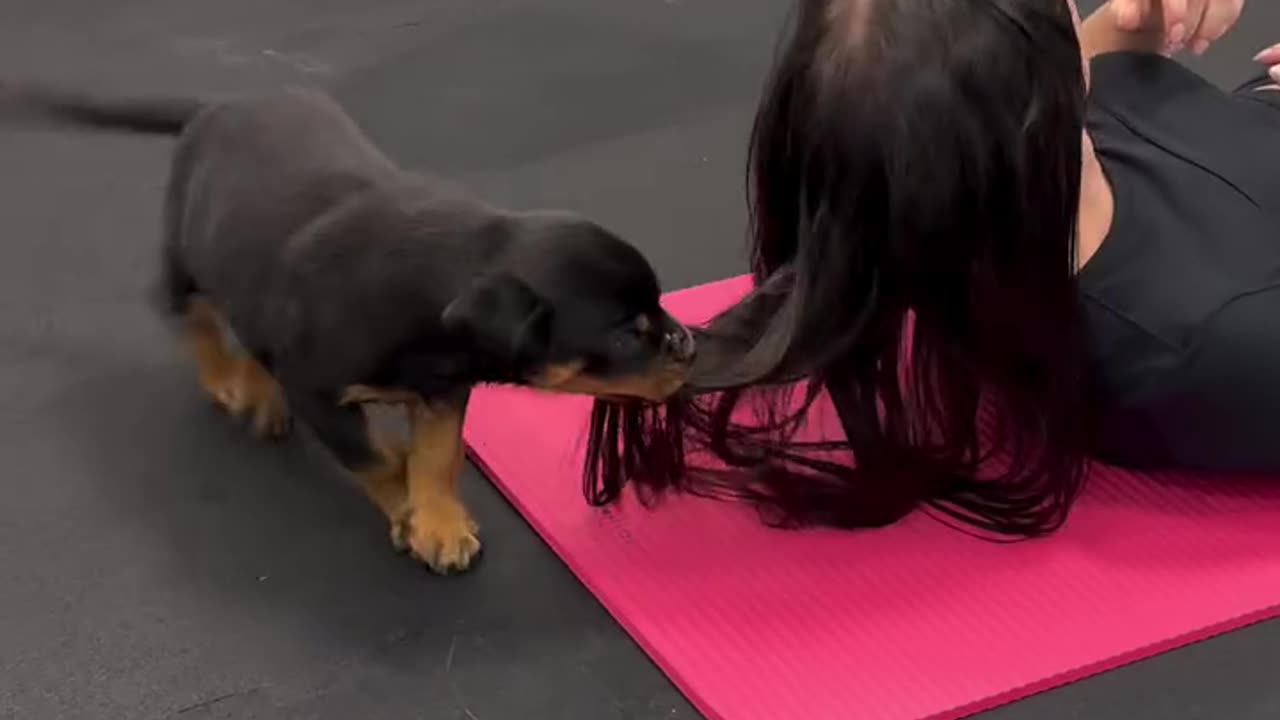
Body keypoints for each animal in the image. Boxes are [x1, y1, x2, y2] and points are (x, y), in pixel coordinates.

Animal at [2, 79, 701, 571]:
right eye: (626, 333)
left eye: (659, 308)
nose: (688, 343)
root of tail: (214, 104)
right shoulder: (321, 395)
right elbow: (373, 460)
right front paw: (411, 516)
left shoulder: (444, 390)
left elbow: (437, 456)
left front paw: (438, 518)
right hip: (187, 259)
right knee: (190, 313)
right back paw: (227, 378)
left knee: (252, 325)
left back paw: (258, 390)